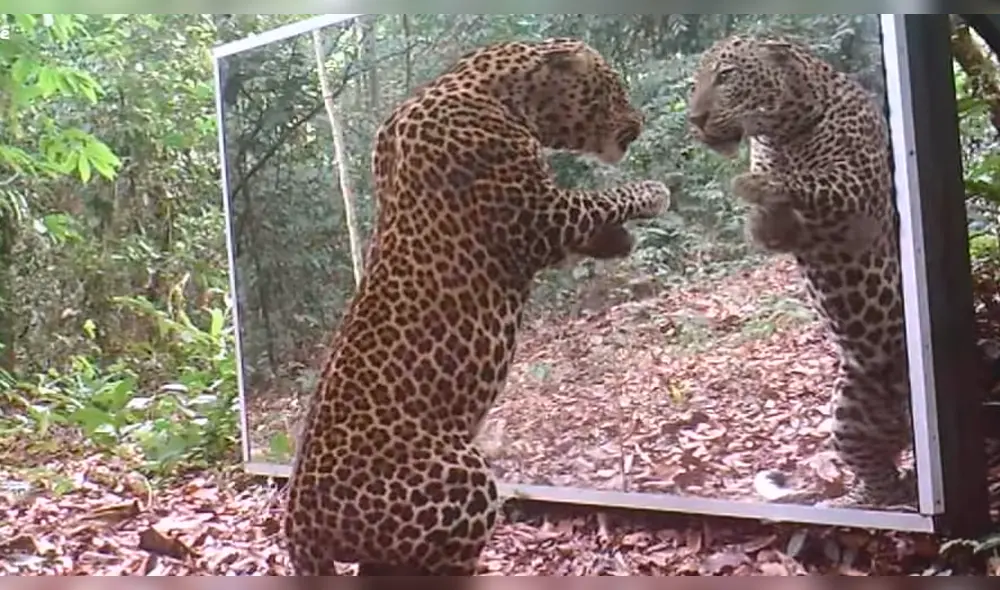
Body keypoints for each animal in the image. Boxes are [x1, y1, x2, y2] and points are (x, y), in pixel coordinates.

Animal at [283, 37, 672, 579]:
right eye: (612, 87)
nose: (638, 121)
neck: (494, 90)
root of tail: (297, 522)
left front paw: (620, 240)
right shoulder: (540, 217)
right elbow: (607, 198)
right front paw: (654, 192)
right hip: (464, 480)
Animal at [686, 34, 916, 510]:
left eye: (726, 76)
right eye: (696, 82)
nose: (695, 119)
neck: (783, 130)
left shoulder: (856, 185)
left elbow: (814, 182)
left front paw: (759, 186)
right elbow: (775, 221)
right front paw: (760, 207)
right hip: (848, 411)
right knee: (880, 480)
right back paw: (852, 501)